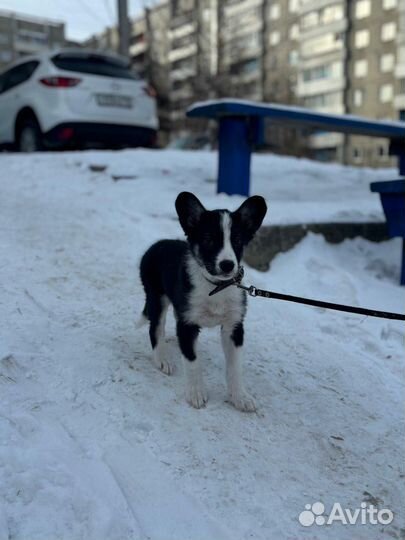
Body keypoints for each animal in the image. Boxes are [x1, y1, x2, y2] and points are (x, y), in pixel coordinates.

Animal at [137, 192, 266, 412]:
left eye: (237, 240)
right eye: (208, 239)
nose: (227, 265)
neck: (216, 287)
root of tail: (156, 245)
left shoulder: (234, 326)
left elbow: (235, 367)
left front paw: (240, 397)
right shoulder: (187, 324)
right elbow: (193, 361)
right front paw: (196, 393)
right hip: (156, 297)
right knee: (155, 329)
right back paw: (162, 359)